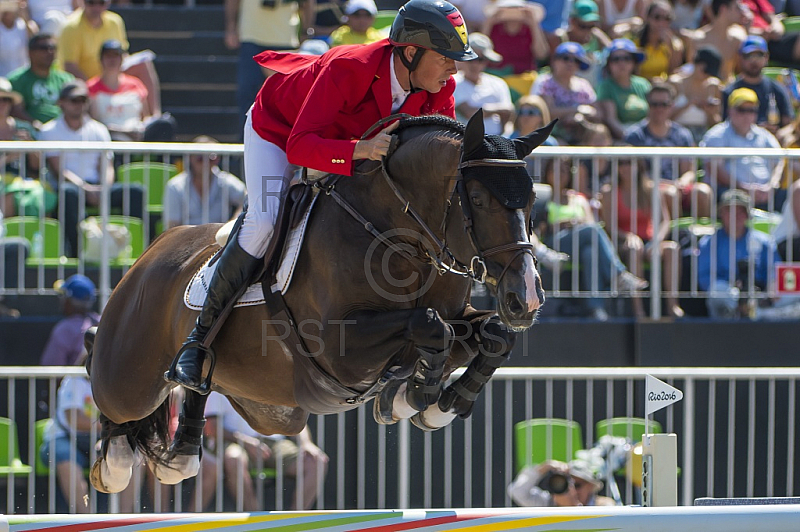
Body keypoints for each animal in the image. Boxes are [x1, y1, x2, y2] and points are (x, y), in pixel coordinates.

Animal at [86, 110, 552, 496]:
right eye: (479, 200)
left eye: (531, 200)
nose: (525, 297)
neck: (397, 235)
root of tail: (153, 251)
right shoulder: (338, 350)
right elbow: (429, 324)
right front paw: (418, 392)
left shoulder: (457, 318)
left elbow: (492, 335)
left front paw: (435, 403)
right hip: (130, 376)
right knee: (111, 390)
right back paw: (115, 460)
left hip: (268, 409)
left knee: (200, 385)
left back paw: (181, 452)